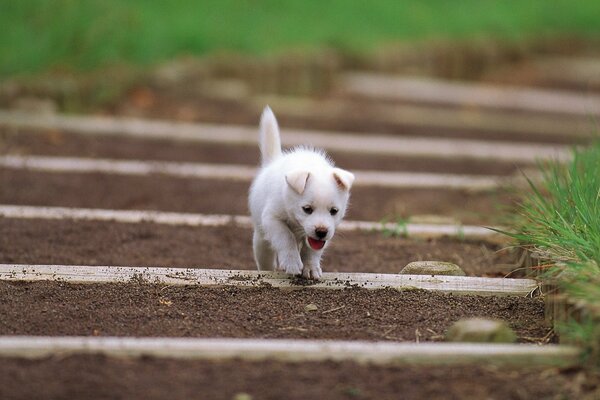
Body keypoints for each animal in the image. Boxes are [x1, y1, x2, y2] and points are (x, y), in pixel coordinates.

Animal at [250, 108, 356, 280]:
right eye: (307, 209)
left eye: (334, 211)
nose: (321, 232)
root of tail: (272, 162)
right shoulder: (272, 219)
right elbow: (285, 237)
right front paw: (292, 263)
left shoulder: (322, 237)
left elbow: (312, 250)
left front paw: (311, 267)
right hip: (261, 240)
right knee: (265, 258)